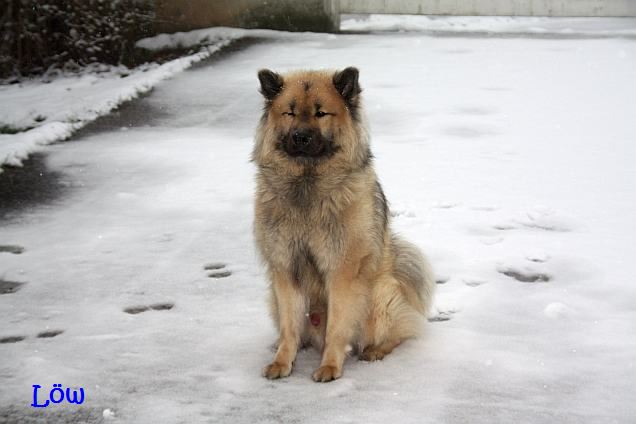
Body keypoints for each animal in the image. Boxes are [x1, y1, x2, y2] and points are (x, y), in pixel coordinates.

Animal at [251, 67, 434, 384]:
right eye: (289, 112)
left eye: (321, 113)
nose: (300, 137)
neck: (307, 186)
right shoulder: (285, 269)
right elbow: (289, 326)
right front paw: (282, 361)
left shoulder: (342, 271)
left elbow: (337, 327)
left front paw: (330, 366)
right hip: (272, 296)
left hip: (379, 295)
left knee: (399, 331)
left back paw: (375, 351)